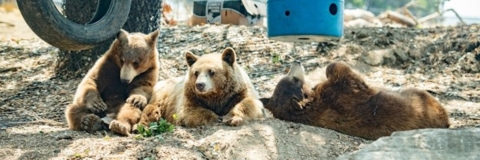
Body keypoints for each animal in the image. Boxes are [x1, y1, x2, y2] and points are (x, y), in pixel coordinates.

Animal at [260, 62, 448, 139]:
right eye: (295, 79)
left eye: (290, 76)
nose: (297, 62)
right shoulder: (342, 93)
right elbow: (341, 72)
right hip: (421, 100)